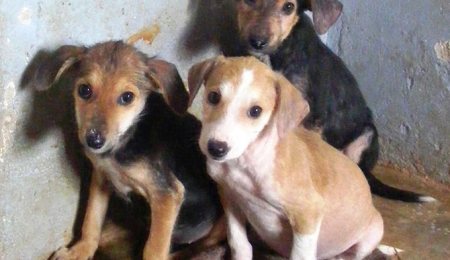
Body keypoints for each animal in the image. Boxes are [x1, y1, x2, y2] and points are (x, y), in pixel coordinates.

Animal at [187, 55, 384, 258]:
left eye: (255, 111)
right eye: (213, 97)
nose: (216, 148)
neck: (246, 163)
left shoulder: (308, 213)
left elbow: (299, 255)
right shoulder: (230, 196)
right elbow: (239, 243)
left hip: (371, 235)